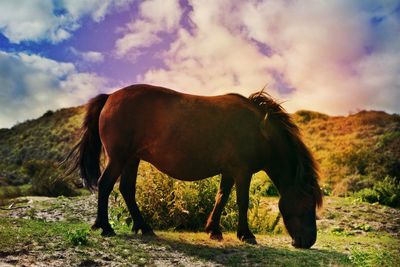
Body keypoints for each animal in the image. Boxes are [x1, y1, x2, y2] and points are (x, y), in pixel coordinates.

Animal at [65, 84, 322, 249]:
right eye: (307, 204)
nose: (308, 241)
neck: (261, 130)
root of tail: (110, 97)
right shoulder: (242, 171)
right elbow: (242, 201)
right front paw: (246, 235)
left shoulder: (229, 171)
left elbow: (221, 197)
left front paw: (214, 230)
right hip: (119, 158)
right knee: (105, 185)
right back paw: (105, 227)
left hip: (131, 159)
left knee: (127, 189)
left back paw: (143, 227)